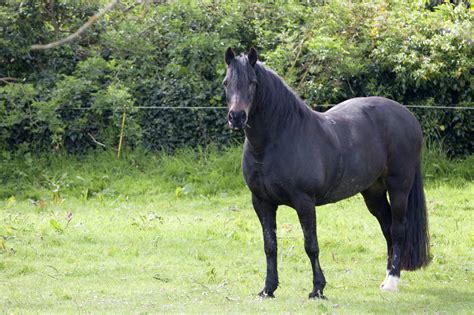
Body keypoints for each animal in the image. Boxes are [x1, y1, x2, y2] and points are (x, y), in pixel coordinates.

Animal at [223, 48, 430, 300]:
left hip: (399, 188)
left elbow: (310, 245)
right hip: (373, 193)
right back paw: (386, 277)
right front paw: (268, 289)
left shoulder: (304, 202)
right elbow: (270, 246)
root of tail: (407, 116)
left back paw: (392, 281)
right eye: (226, 83)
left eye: (252, 83)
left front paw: (317, 289)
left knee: (398, 230)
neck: (277, 139)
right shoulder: (262, 202)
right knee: (387, 228)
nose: (236, 117)